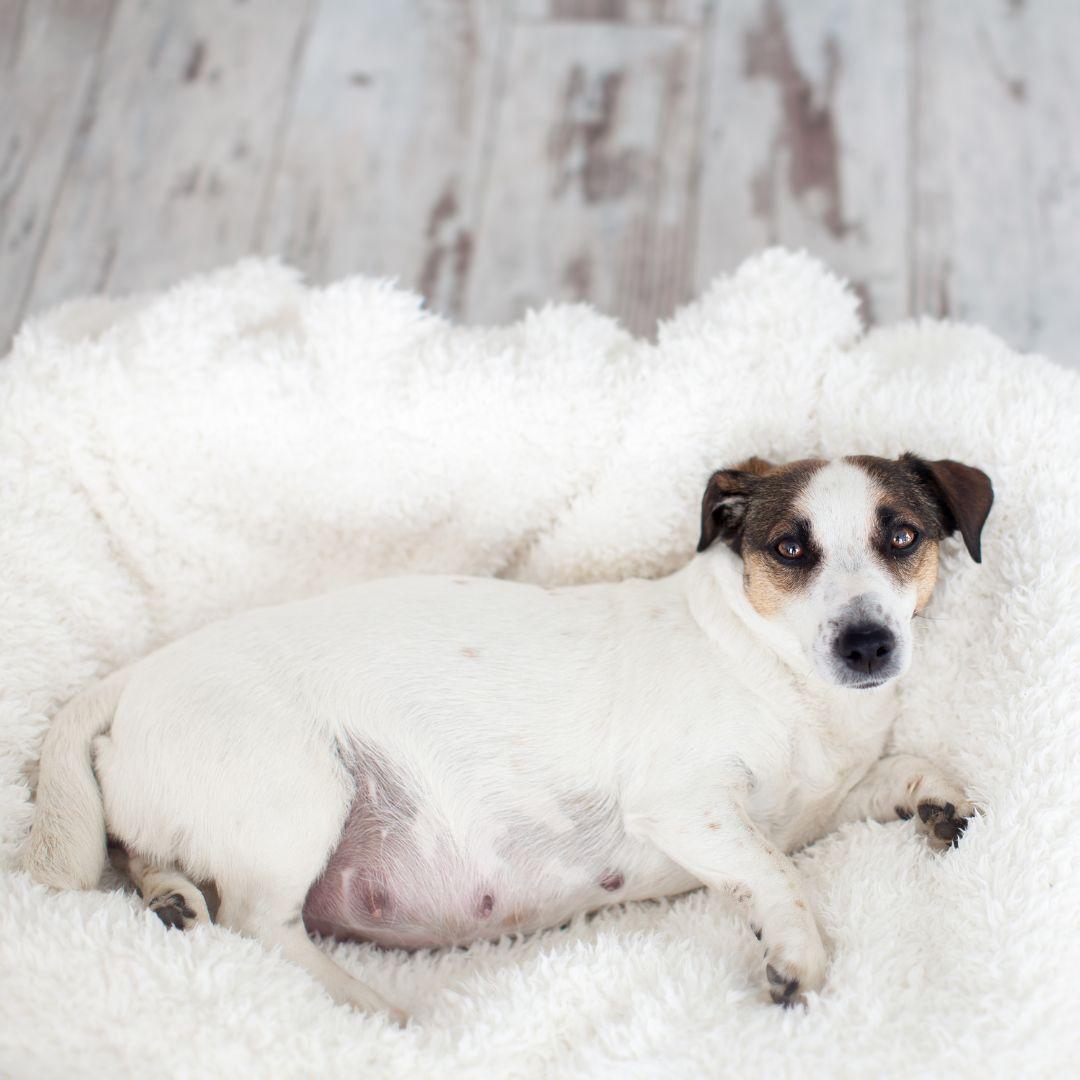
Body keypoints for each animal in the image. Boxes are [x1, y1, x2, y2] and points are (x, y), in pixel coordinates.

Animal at [23, 449, 993, 1019]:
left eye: (902, 536)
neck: (783, 677)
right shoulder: (692, 808)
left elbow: (899, 771)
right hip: (299, 794)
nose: (867, 644)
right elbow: (777, 876)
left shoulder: (818, 802)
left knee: (148, 853)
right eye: (791, 550)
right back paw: (371, 1008)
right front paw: (796, 953)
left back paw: (170, 898)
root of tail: (132, 680)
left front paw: (937, 799)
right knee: (259, 922)